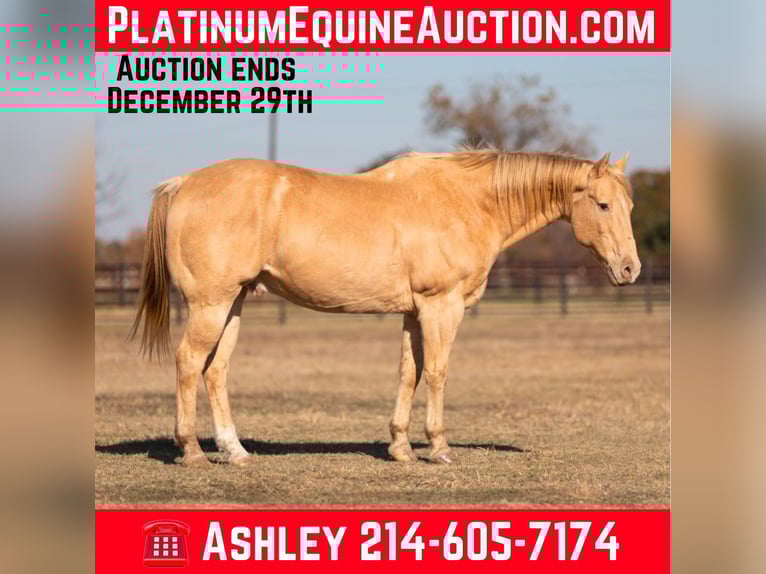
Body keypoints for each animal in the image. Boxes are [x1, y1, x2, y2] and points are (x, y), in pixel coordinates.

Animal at [130, 148, 639, 466]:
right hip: (210, 305)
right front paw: (438, 447)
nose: (630, 269)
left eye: (629, 206)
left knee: (215, 371)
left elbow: (407, 373)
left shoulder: (414, 312)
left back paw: (234, 451)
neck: (469, 201)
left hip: (233, 303)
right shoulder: (441, 308)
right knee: (189, 363)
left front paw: (400, 447)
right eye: (603, 204)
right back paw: (192, 451)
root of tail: (184, 184)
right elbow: (436, 373)